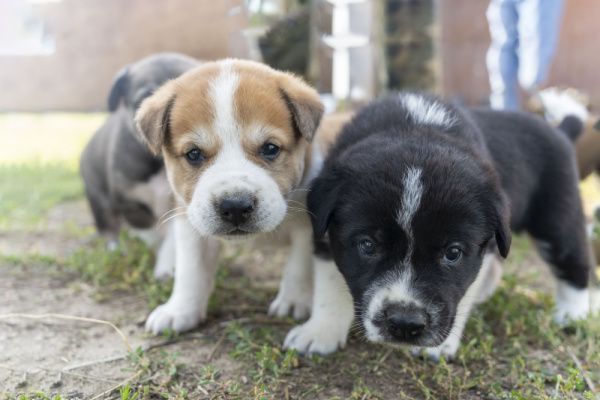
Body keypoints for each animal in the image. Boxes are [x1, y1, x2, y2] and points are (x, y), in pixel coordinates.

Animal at [78, 52, 197, 278]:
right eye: (146, 99)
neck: (160, 164)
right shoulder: (129, 200)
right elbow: (148, 228)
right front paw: (153, 245)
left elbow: (170, 238)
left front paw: (165, 267)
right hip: (99, 200)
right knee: (109, 228)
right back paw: (116, 249)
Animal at [134, 58, 354, 354]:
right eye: (194, 154)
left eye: (270, 149)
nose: (236, 206)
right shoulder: (190, 225)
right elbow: (191, 270)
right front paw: (180, 310)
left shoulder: (307, 227)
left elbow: (299, 265)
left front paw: (294, 300)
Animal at [310, 91, 596, 360]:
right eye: (368, 245)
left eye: (453, 253)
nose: (405, 324)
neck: (415, 125)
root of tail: (560, 129)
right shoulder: (325, 232)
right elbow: (329, 284)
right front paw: (320, 332)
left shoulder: (481, 249)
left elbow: (464, 291)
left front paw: (440, 346)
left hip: (558, 217)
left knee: (573, 261)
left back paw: (572, 314)